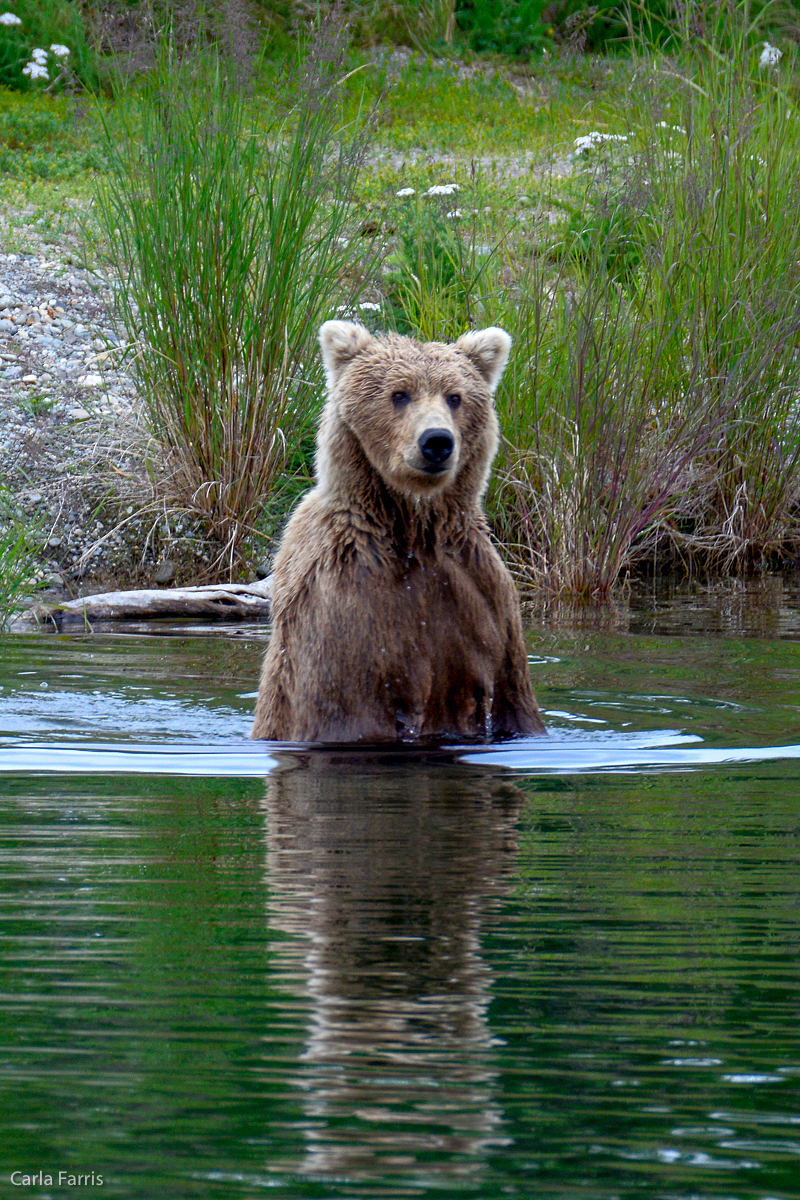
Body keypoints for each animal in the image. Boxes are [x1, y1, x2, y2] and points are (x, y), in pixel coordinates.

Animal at [253, 319, 546, 739]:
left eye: (455, 397)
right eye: (399, 393)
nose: (437, 441)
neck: (414, 527)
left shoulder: (481, 595)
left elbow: (515, 699)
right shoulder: (345, 602)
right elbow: (343, 706)